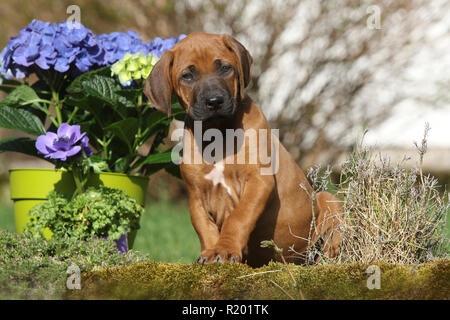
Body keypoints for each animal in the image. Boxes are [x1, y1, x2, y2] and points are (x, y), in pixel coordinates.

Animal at [144, 32, 342, 268]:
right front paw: (211, 252)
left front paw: (225, 249)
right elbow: (205, 229)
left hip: (328, 200)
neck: (218, 133)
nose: (214, 101)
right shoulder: (196, 197)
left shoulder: (258, 181)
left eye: (225, 68)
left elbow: (238, 217)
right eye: (187, 76)